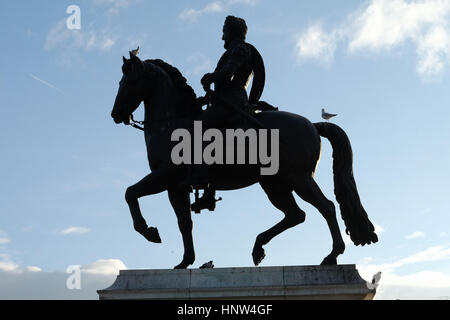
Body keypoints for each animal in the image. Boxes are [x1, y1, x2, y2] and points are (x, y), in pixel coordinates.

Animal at [110, 53, 378, 270]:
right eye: (120, 82)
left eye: (131, 82)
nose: (116, 114)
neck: (172, 123)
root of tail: (312, 124)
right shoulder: (175, 187)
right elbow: (184, 222)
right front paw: (185, 261)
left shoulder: (165, 176)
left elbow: (130, 192)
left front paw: (148, 231)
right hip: (275, 185)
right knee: (296, 215)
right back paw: (258, 247)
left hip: (299, 178)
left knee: (326, 207)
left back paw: (332, 255)